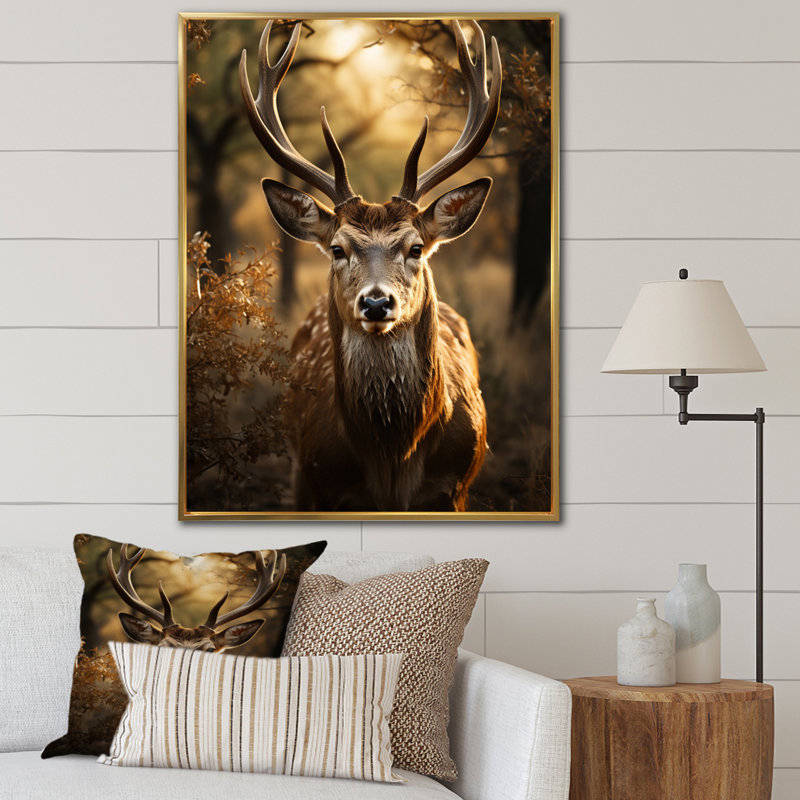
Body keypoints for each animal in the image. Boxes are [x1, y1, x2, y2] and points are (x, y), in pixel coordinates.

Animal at [240, 19, 502, 512]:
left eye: (415, 248)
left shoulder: (456, 485)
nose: (377, 303)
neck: (392, 460)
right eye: (337, 249)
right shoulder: (322, 481)